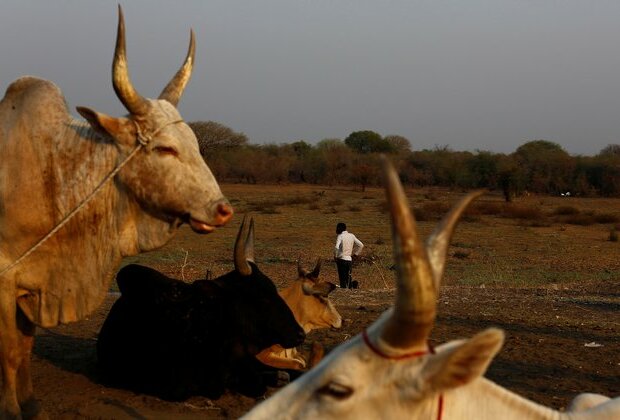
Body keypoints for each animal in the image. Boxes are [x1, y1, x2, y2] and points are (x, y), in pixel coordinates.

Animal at [0, 5, 232, 416]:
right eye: (164, 148)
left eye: (195, 143)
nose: (221, 209)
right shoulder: (5, 278)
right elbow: (8, 354)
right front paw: (10, 410)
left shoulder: (33, 286)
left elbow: (23, 350)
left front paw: (30, 407)